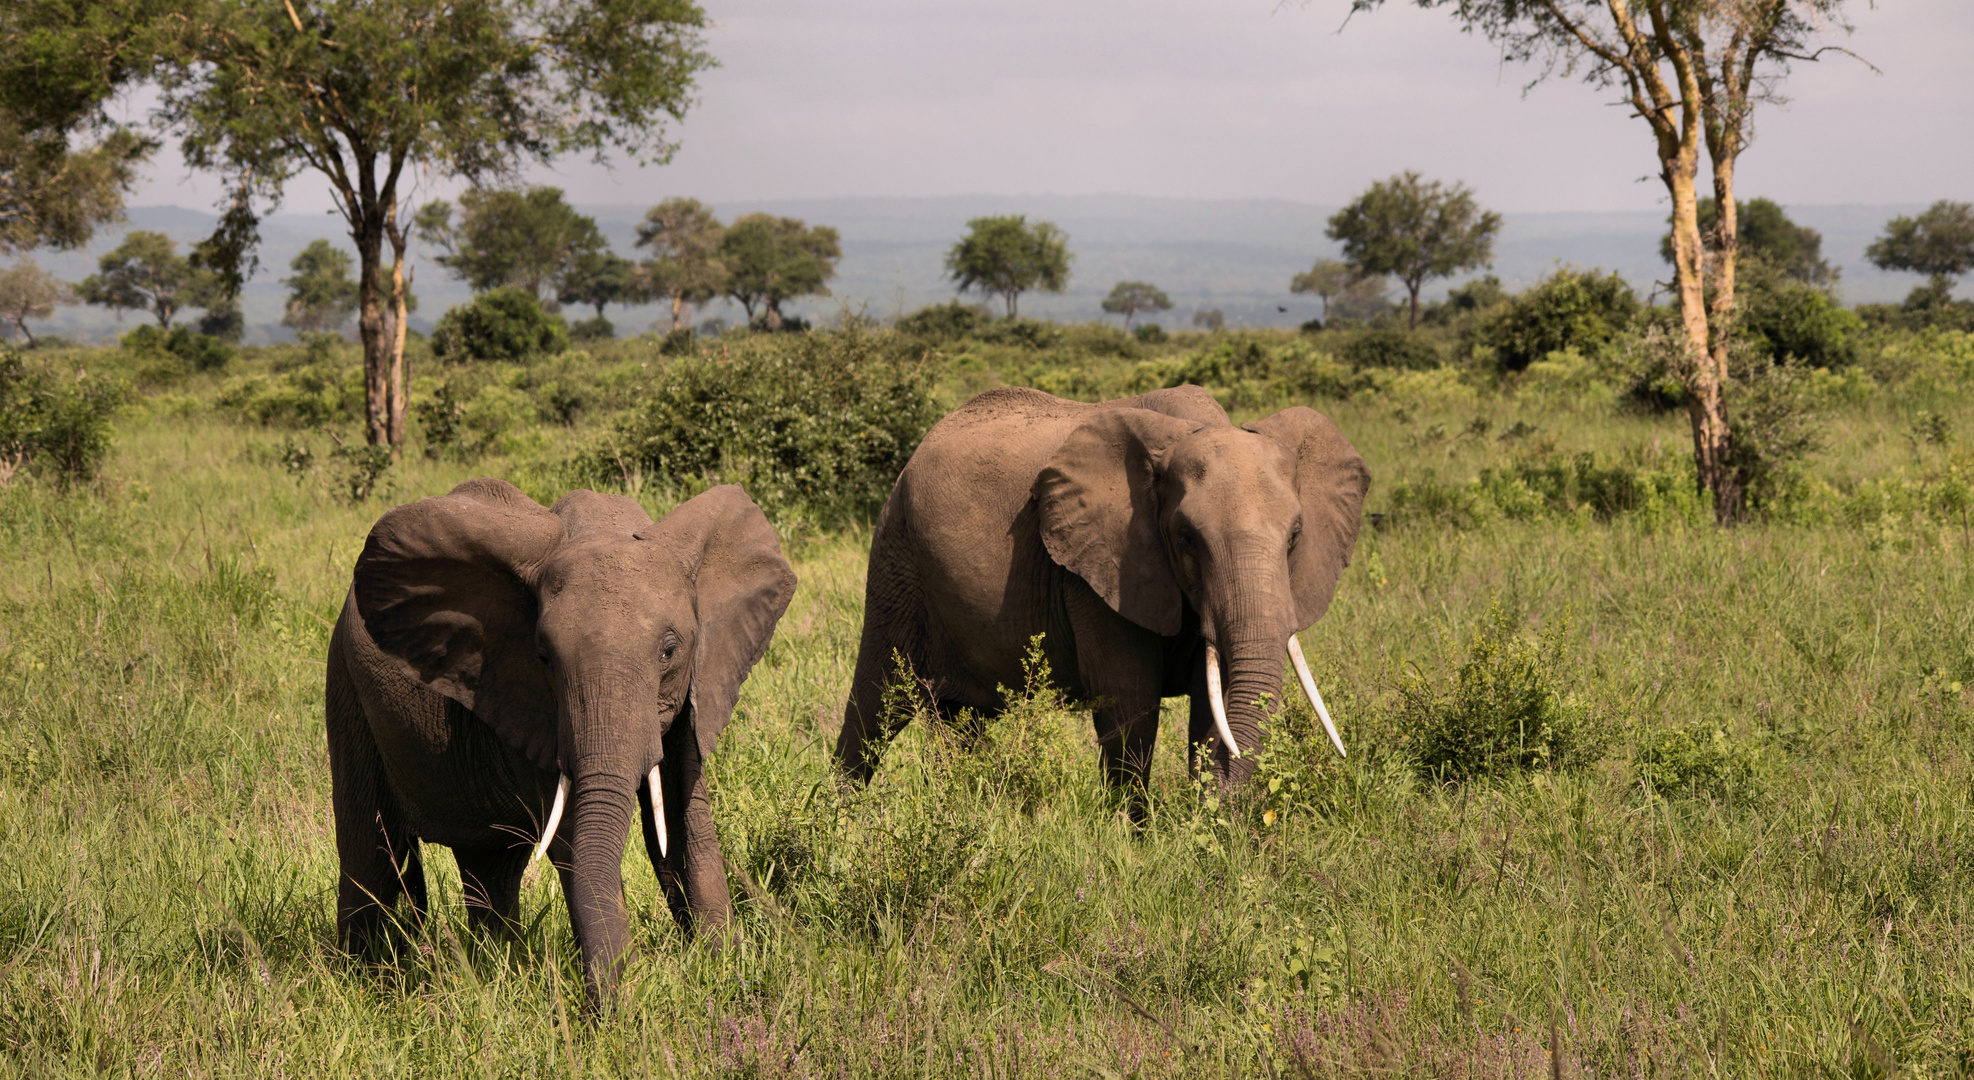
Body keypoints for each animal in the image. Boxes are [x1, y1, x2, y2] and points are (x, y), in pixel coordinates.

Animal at [325, 477, 793, 1010]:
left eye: (669, 652)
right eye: (544, 657)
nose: (603, 1009)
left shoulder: (698, 684)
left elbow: (684, 816)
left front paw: (726, 971)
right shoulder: (537, 708)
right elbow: (573, 834)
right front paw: (627, 1006)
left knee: (490, 865)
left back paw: (494, 968)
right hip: (347, 690)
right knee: (372, 858)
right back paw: (365, 983)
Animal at [836, 386, 1373, 793]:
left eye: (1296, 535)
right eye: (1186, 538)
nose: (1216, 808)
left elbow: (1210, 707)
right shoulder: (1097, 573)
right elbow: (1129, 705)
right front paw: (1138, 845)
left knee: (961, 722)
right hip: (896, 559)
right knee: (874, 707)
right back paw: (842, 827)